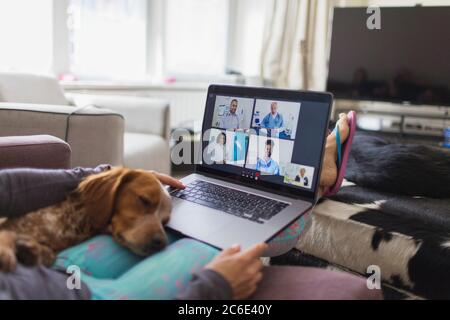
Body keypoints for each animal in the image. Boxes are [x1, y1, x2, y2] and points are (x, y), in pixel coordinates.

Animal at [0, 168, 172, 272]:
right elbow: (6, 234)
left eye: (164, 221)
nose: (161, 243)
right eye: (144, 200)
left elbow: (47, 255)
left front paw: (31, 251)